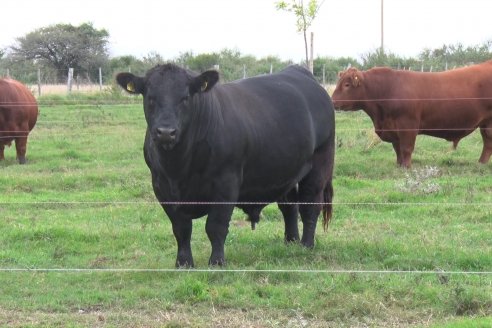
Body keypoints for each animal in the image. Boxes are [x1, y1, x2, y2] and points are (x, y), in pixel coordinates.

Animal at [117, 64, 336, 266]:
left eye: (185, 97)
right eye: (150, 97)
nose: (165, 132)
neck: (178, 168)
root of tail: (300, 71)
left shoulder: (226, 183)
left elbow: (216, 226)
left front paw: (217, 262)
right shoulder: (161, 186)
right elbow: (181, 228)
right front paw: (183, 263)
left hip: (320, 163)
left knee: (310, 205)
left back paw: (306, 245)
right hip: (286, 170)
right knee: (290, 206)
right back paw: (290, 242)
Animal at [330, 61, 492, 168]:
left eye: (347, 85)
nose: (332, 101)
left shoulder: (407, 126)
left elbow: (406, 148)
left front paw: (407, 167)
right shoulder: (393, 129)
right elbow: (397, 149)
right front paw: (399, 165)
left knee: (488, 142)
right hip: (485, 123)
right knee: (487, 143)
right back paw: (481, 164)